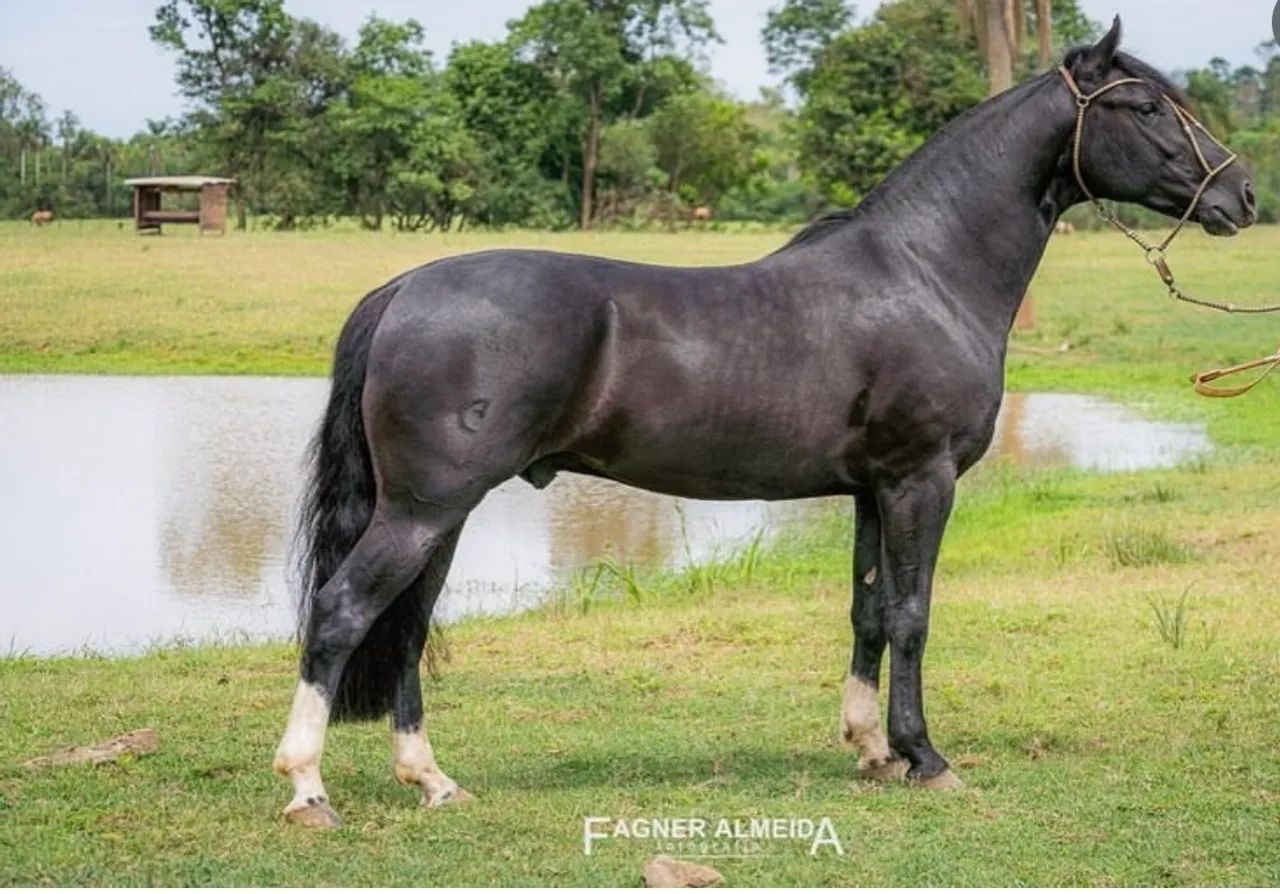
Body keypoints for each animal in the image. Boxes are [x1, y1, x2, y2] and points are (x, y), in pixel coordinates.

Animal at [273, 19, 1256, 827]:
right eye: (1143, 106)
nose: (1241, 195)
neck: (927, 270)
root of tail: (407, 287)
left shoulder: (871, 489)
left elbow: (868, 612)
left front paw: (871, 750)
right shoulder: (921, 480)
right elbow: (912, 614)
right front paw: (925, 757)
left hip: (439, 513)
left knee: (406, 627)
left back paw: (432, 781)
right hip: (426, 508)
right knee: (343, 612)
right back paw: (308, 790)